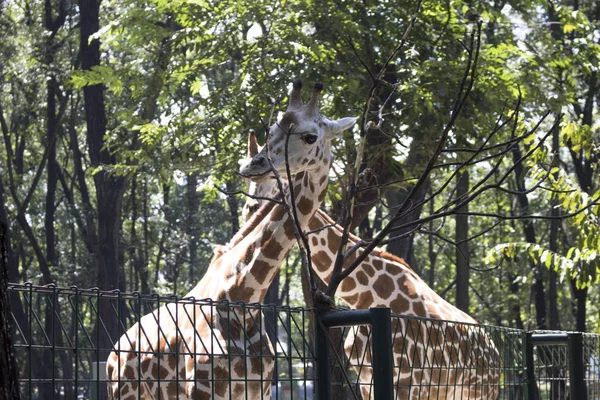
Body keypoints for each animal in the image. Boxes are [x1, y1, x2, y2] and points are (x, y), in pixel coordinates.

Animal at [104, 79, 356, 398]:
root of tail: (115, 348)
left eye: (310, 136)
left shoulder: (259, 391)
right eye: (271, 130)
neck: (244, 297)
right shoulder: (202, 391)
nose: (253, 165)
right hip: (122, 391)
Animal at [244, 130, 502, 396]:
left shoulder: (408, 381)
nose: (251, 207)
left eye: (276, 181)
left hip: (480, 389)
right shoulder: (366, 380)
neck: (366, 298)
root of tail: (496, 351)